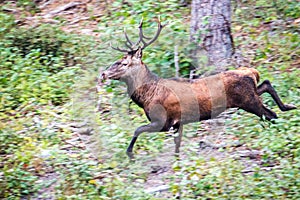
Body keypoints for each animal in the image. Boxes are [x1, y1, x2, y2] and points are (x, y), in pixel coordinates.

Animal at [100, 18, 296, 159]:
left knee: (271, 114)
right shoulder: (177, 123)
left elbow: (137, 129)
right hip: (251, 94)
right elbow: (177, 146)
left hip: (248, 101)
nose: (103, 73)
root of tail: (252, 72)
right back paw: (288, 106)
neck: (146, 97)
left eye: (124, 63)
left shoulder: (163, 121)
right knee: (267, 85)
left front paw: (130, 153)